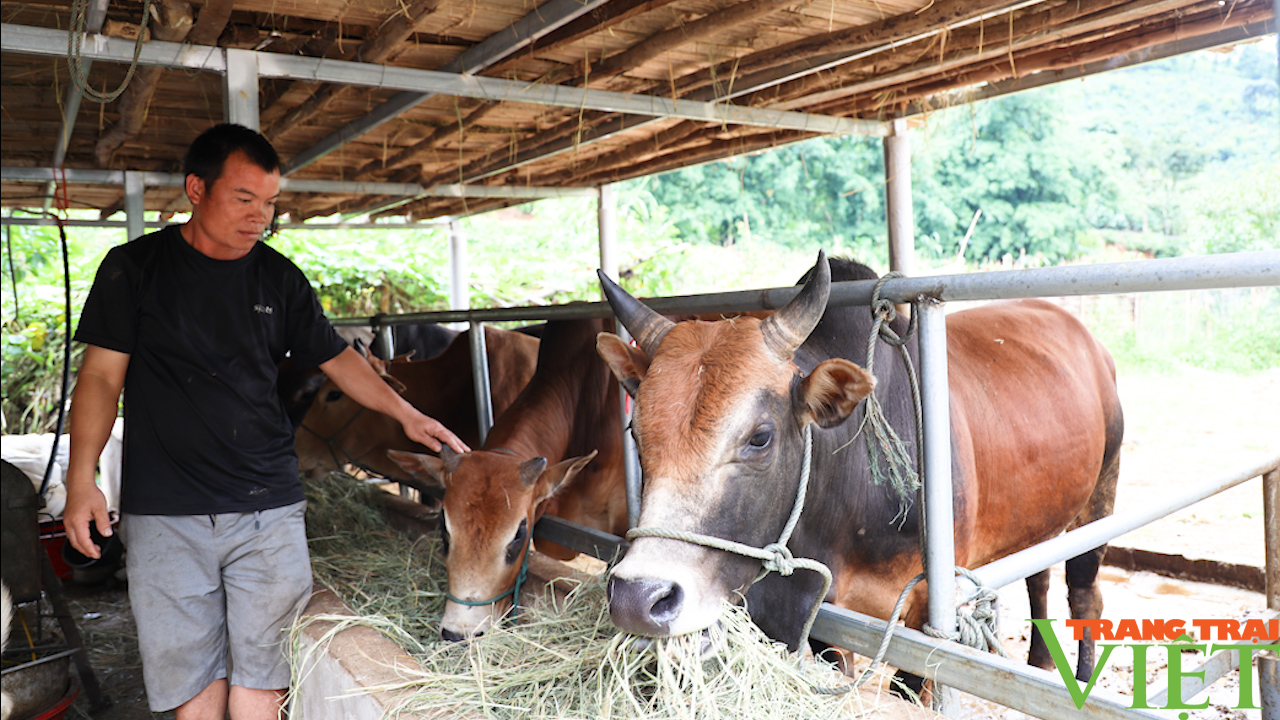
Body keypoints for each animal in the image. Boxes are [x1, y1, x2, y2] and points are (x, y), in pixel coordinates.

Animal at [596, 253, 1121, 681]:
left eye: (760, 437)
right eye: (636, 433)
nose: (638, 599)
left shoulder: (929, 609)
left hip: (1100, 500)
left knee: (1084, 593)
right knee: (1040, 577)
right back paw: (1039, 661)